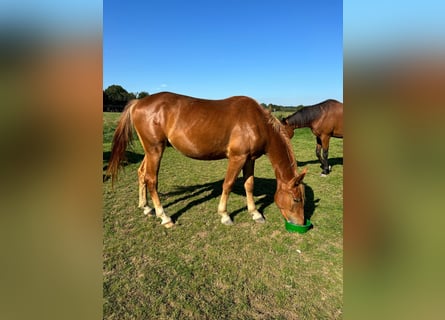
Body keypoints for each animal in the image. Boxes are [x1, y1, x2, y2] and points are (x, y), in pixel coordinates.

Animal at [106, 91, 306, 229]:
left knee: (141, 174)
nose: (301, 223)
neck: (256, 122)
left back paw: (146, 207)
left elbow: (249, 185)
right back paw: (164, 216)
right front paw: (225, 215)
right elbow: (228, 184)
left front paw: (255, 213)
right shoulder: (237, 158)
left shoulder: (250, 159)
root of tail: (139, 102)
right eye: (296, 200)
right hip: (155, 150)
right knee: (151, 180)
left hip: (150, 151)